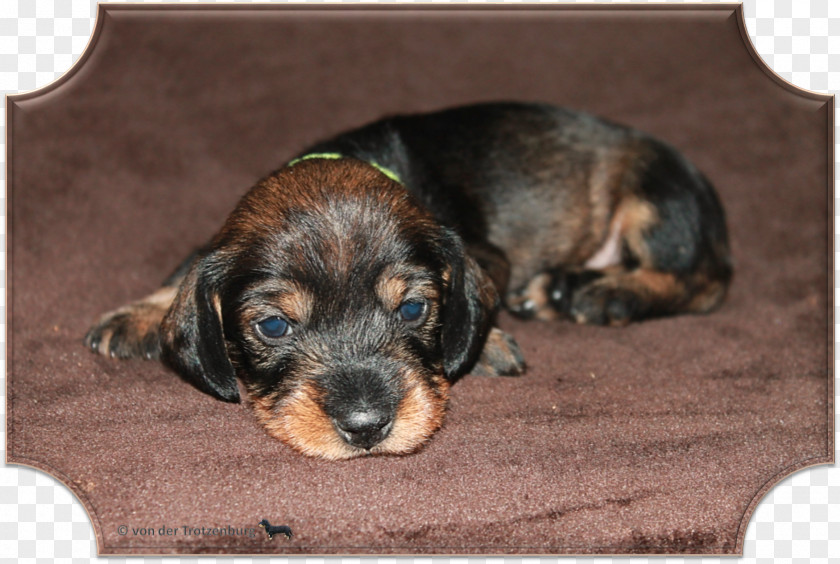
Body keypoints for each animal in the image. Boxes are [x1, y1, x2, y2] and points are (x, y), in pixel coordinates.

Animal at [83, 103, 728, 460]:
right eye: (273, 326)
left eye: (413, 311)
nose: (367, 428)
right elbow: (188, 267)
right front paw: (139, 313)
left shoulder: (483, 253)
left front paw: (487, 344)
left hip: (655, 196)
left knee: (701, 280)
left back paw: (602, 292)